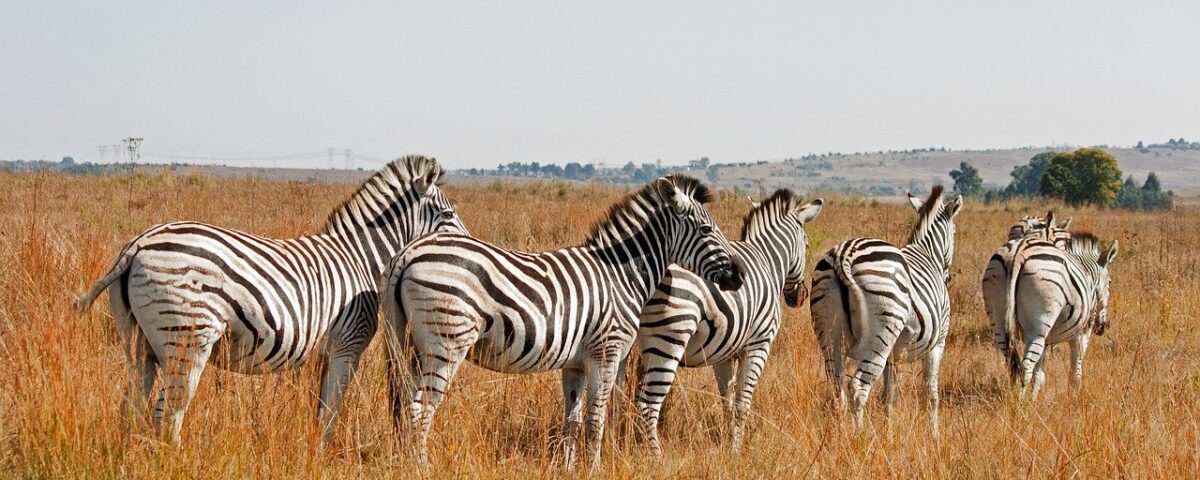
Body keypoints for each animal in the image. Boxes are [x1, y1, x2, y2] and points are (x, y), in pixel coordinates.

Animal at [70, 156, 463, 446]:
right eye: (447, 215)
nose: (468, 245)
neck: (360, 258)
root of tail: (138, 244)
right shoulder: (347, 345)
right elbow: (331, 410)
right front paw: (324, 454)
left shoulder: (326, 349)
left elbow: (320, 409)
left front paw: (313, 451)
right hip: (187, 339)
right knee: (169, 414)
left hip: (138, 343)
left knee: (131, 407)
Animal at [633, 189, 820, 456]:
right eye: (806, 244)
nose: (800, 296)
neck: (768, 260)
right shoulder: (759, 344)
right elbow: (743, 401)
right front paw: (736, 449)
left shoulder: (725, 352)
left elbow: (727, 399)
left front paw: (726, 438)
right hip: (669, 339)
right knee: (648, 403)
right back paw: (654, 455)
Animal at [811, 186, 960, 436]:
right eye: (956, 234)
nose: (948, 278)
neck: (928, 253)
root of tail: (844, 255)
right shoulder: (938, 342)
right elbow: (931, 394)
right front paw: (935, 435)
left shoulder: (895, 353)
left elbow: (889, 396)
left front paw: (888, 432)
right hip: (880, 335)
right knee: (858, 386)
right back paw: (859, 437)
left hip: (829, 331)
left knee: (836, 385)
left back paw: (840, 436)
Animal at [1003, 230, 1113, 398]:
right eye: (1110, 283)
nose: (1102, 328)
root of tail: (1019, 253)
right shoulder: (1081, 333)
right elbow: (1076, 371)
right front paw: (1074, 398)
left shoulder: (1046, 340)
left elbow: (1039, 373)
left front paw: (1034, 398)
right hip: (1038, 328)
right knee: (1025, 366)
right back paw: (1019, 403)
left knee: (1012, 363)